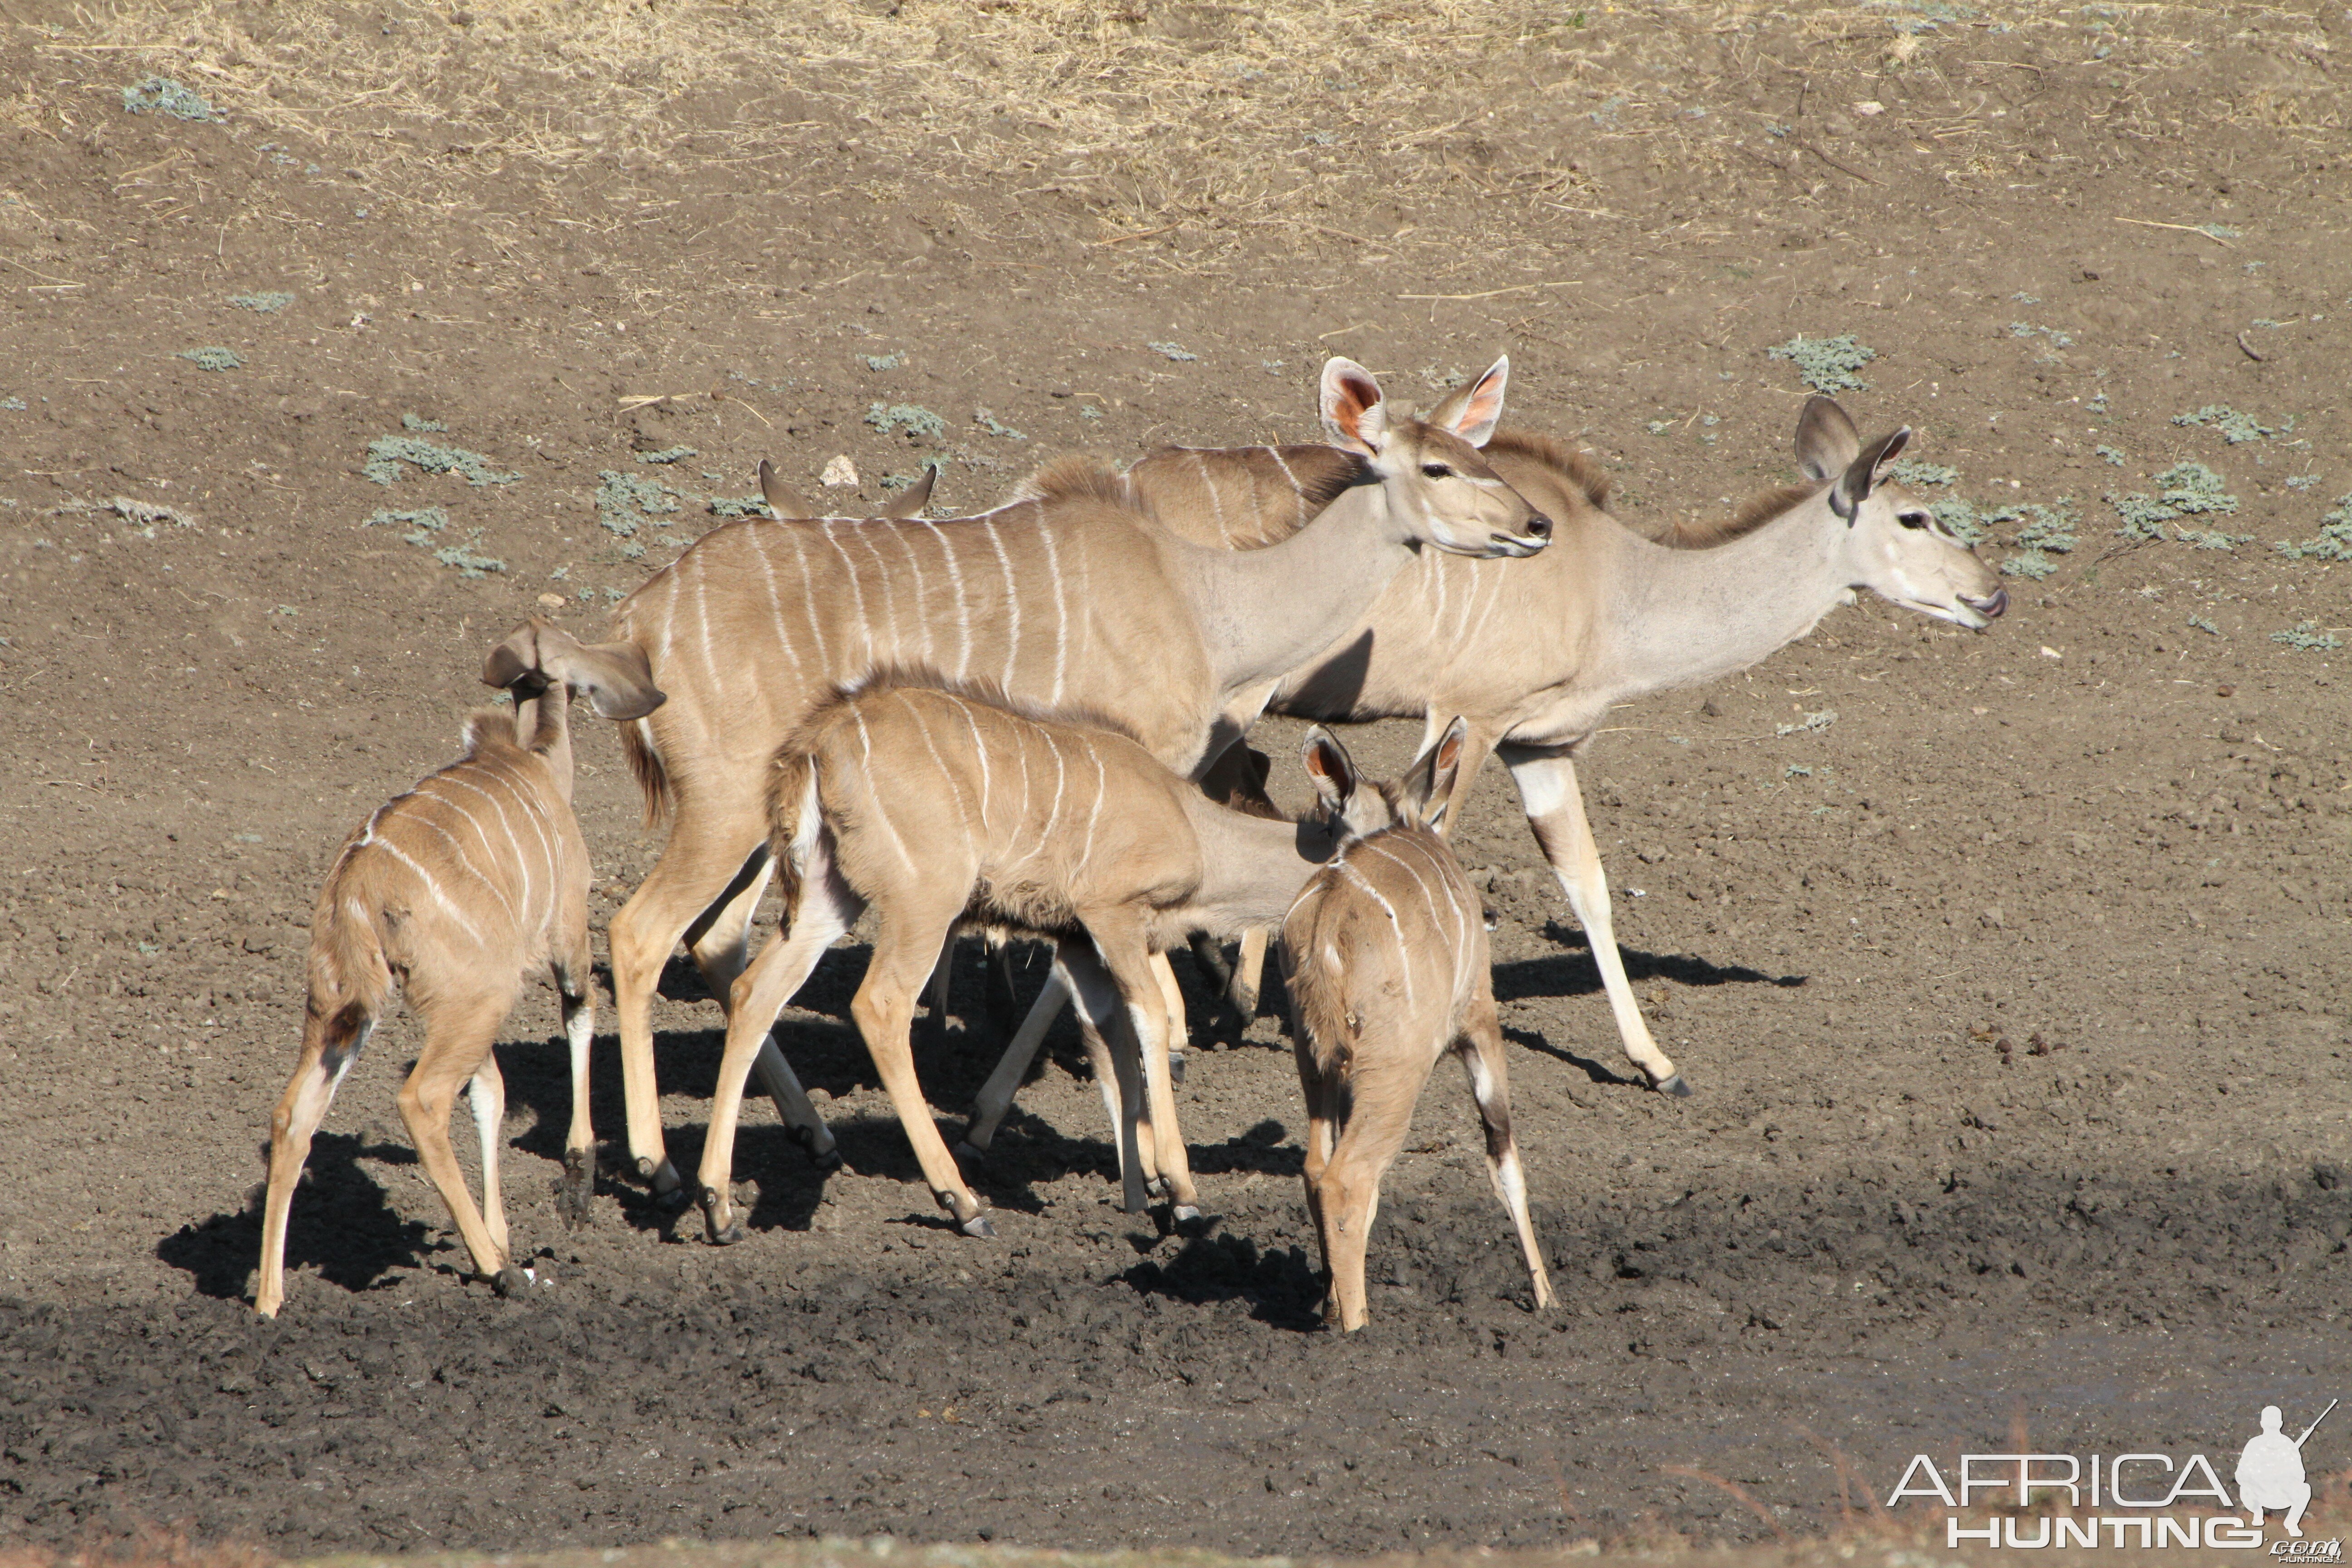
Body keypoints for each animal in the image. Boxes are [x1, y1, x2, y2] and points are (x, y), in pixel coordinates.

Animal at [262, 620, 677, 1316]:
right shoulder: (566, 934)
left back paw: (268, 1301)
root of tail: (357, 889)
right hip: (475, 998)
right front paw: (572, 1192)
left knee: (294, 1116)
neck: (537, 762)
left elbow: (491, 1094)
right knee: (423, 1098)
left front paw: (505, 1231)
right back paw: (496, 1270)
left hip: (346, 1009)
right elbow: (579, 1015)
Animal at [1279, 719, 1552, 1335]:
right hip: (1396, 1068)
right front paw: (1547, 1298)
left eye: (1330, 822)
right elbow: (1504, 1156)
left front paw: (1327, 1301)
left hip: (1317, 1060)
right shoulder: (1479, 1020)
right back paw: (1358, 1330)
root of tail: (1327, 925)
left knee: (1317, 1169)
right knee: (1349, 1179)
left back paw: (1334, 1312)